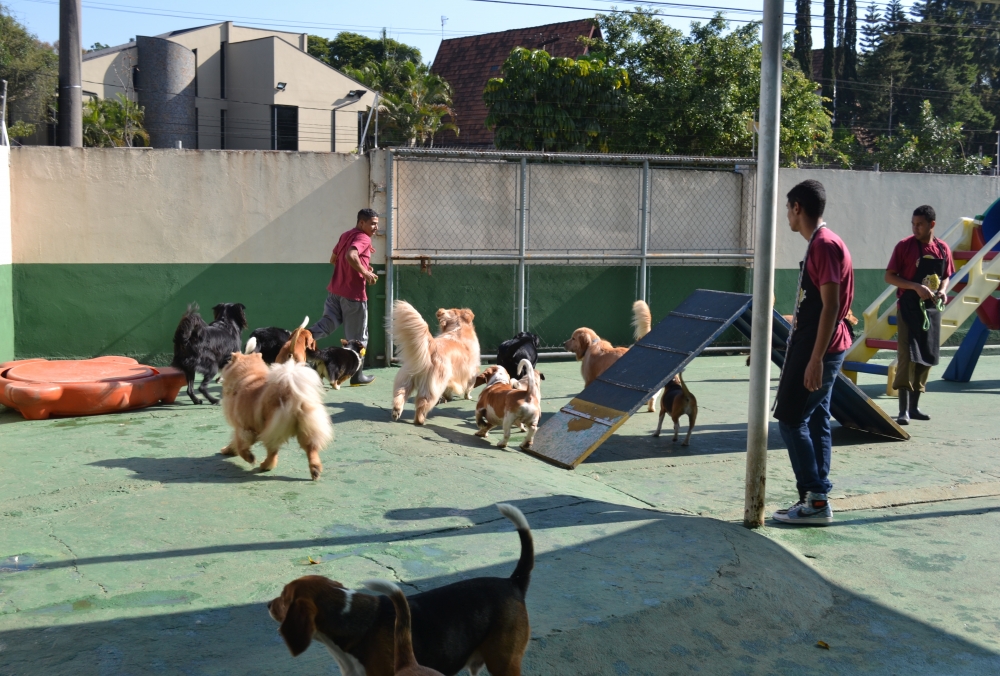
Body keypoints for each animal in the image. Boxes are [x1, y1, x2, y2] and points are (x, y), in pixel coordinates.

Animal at [221, 336, 334, 478]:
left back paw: (265, 465)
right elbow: (235, 442)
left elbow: (241, 445)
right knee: (311, 449)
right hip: (307, 427)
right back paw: (315, 470)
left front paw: (249, 457)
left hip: (272, 427)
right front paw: (228, 450)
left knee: (272, 452)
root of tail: (291, 392)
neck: (247, 376)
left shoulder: (243, 428)